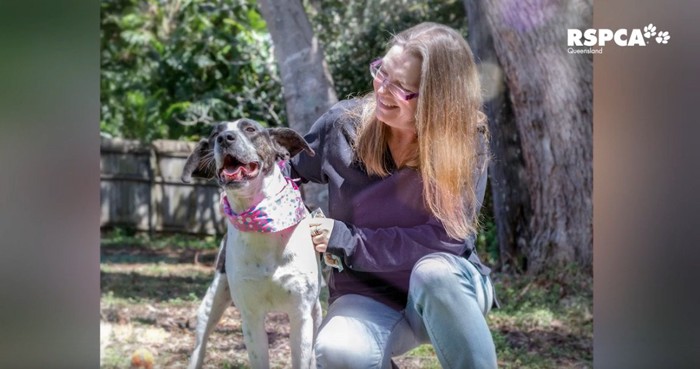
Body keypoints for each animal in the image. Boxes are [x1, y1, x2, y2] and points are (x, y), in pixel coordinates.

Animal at [180, 120, 322, 368]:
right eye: (215, 134)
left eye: (250, 129)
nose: (225, 138)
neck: (264, 225)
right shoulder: (251, 317)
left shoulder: (301, 315)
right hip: (212, 302)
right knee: (201, 342)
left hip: (317, 313)